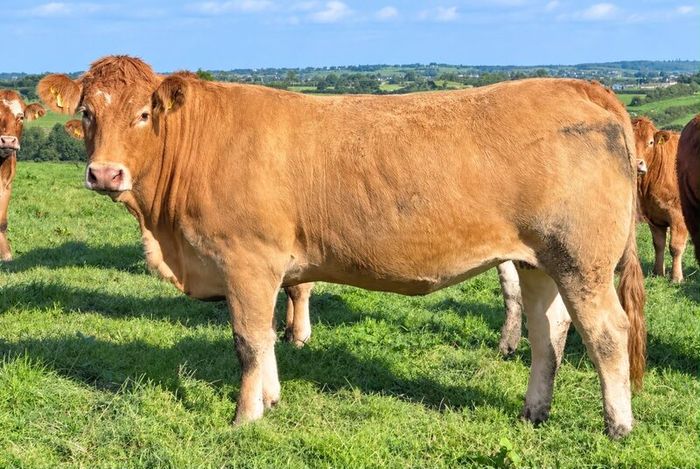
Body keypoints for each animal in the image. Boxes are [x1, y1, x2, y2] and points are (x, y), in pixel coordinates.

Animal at [38, 56, 645, 438]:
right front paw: (272, 400)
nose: (105, 173)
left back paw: (618, 426)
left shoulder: (246, 260)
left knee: (607, 333)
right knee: (550, 333)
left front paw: (245, 418)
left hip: (583, 260)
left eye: (143, 114)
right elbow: (268, 337)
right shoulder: (264, 267)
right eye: (87, 113)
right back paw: (533, 412)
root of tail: (580, 86)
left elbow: (248, 341)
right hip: (537, 259)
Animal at [632, 117, 688, 282]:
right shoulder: (654, 216)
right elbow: (658, 244)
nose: (637, 164)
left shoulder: (678, 216)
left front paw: (676, 277)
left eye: (650, 142)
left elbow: (675, 247)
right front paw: (658, 272)